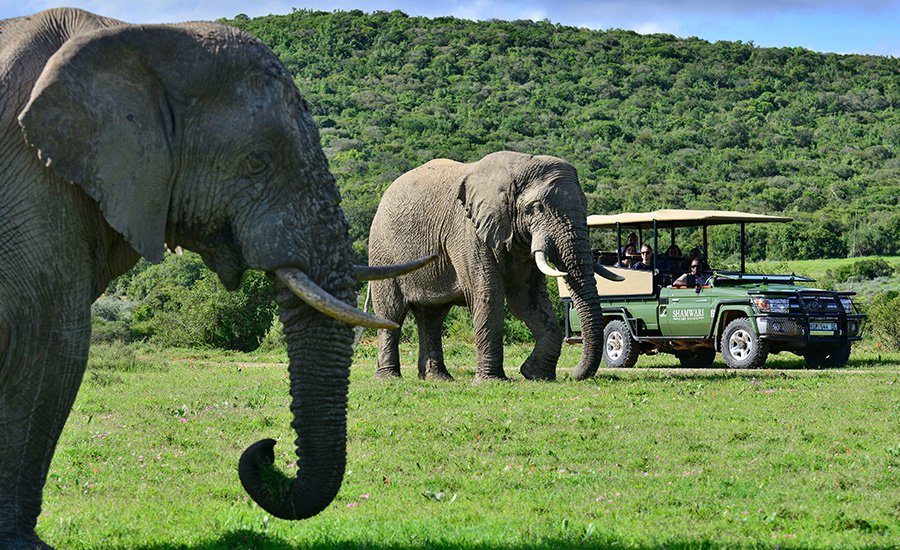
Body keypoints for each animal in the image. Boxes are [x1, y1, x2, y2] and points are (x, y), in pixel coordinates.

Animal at [0, 7, 428, 548]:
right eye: (256, 161)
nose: (267, 449)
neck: (134, 36)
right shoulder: (30, 178)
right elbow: (51, 345)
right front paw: (22, 543)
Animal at [370, 151, 624, 384]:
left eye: (585, 204)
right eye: (537, 207)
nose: (573, 375)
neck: (516, 168)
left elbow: (527, 300)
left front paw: (534, 374)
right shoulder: (468, 232)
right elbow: (489, 296)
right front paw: (491, 381)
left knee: (432, 317)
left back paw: (438, 379)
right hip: (383, 252)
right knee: (392, 312)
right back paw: (388, 379)